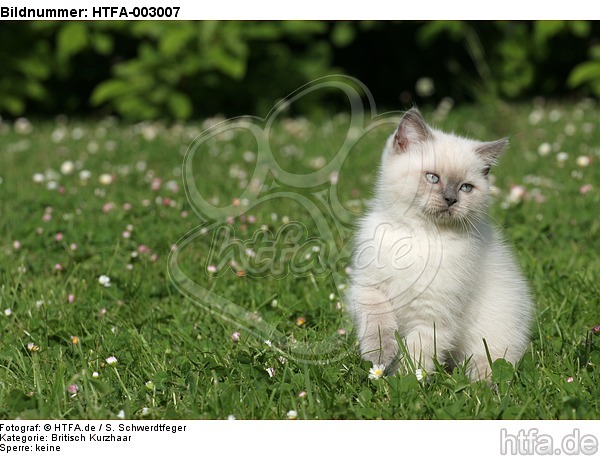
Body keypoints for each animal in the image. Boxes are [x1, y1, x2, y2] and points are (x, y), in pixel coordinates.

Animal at [346, 108, 536, 380]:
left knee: (490, 365)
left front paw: (400, 384)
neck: (420, 235)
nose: (451, 199)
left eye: (466, 187)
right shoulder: (369, 287)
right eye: (432, 178)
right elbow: (378, 324)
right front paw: (379, 356)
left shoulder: (433, 315)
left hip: (492, 338)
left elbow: (415, 357)